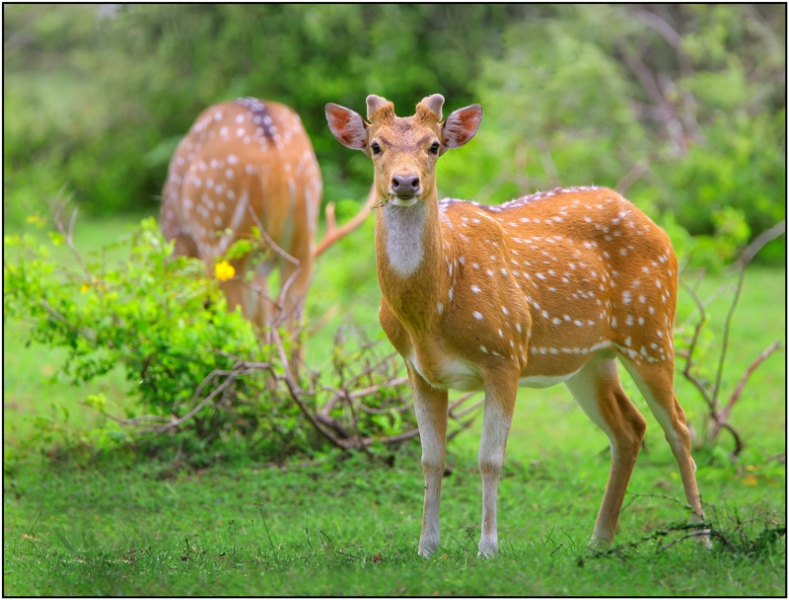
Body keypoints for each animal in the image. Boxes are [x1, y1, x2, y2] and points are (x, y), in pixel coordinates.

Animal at [326, 94, 708, 556]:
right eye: (375, 146)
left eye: (433, 145)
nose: (405, 182)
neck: (433, 308)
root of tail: (660, 230)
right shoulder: (419, 370)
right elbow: (431, 459)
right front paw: (427, 547)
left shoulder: (505, 353)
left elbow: (490, 459)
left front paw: (488, 548)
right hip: (589, 359)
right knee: (630, 427)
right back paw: (599, 540)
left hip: (651, 329)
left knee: (680, 428)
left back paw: (703, 537)